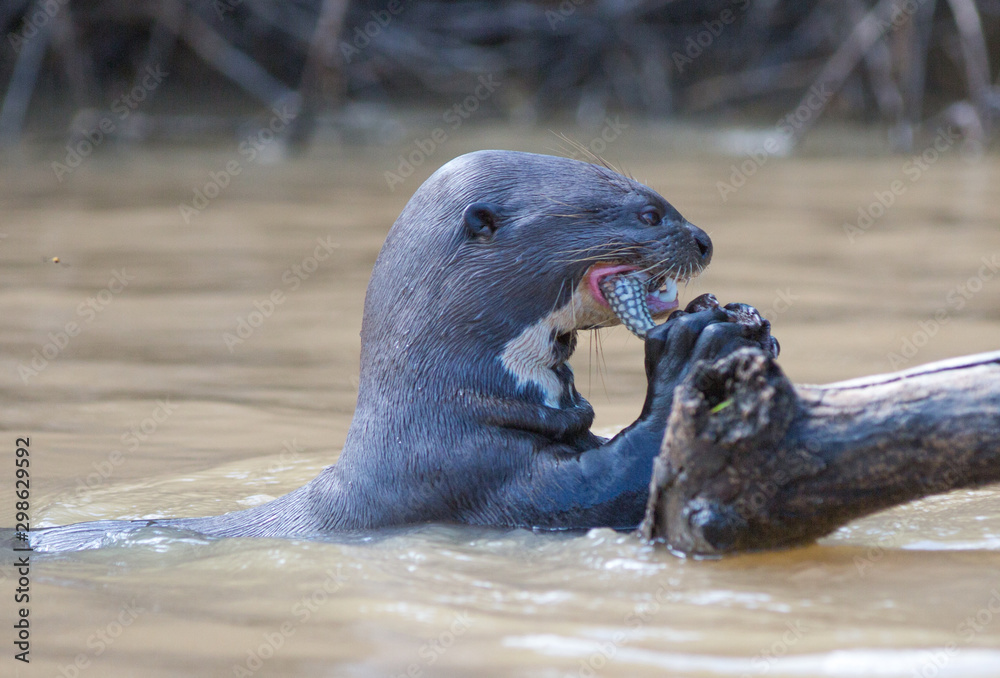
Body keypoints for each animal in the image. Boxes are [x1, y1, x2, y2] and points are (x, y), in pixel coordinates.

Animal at [28, 150, 777, 552]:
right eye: (649, 213)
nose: (704, 239)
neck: (443, 412)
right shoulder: (475, 475)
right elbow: (612, 479)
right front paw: (699, 346)